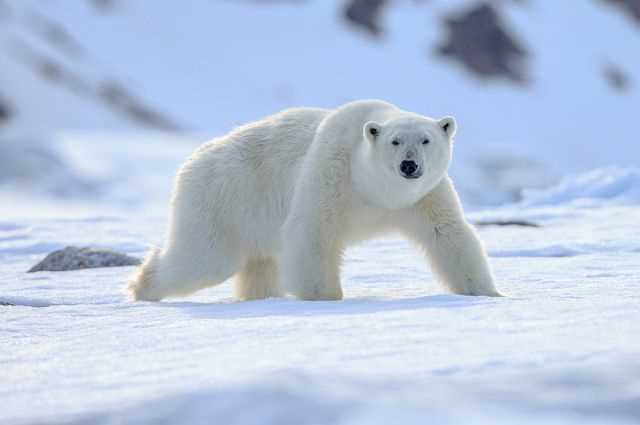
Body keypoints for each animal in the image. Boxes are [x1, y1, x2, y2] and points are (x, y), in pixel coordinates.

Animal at [129, 99, 500, 300]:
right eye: (395, 141)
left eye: (426, 140)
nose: (409, 165)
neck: (376, 190)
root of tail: (193, 160)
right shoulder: (332, 170)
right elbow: (313, 232)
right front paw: (325, 296)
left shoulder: (424, 196)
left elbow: (448, 234)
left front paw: (487, 292)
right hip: (222, 201)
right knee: (203, 259)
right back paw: (141, 287)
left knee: (259, 265)